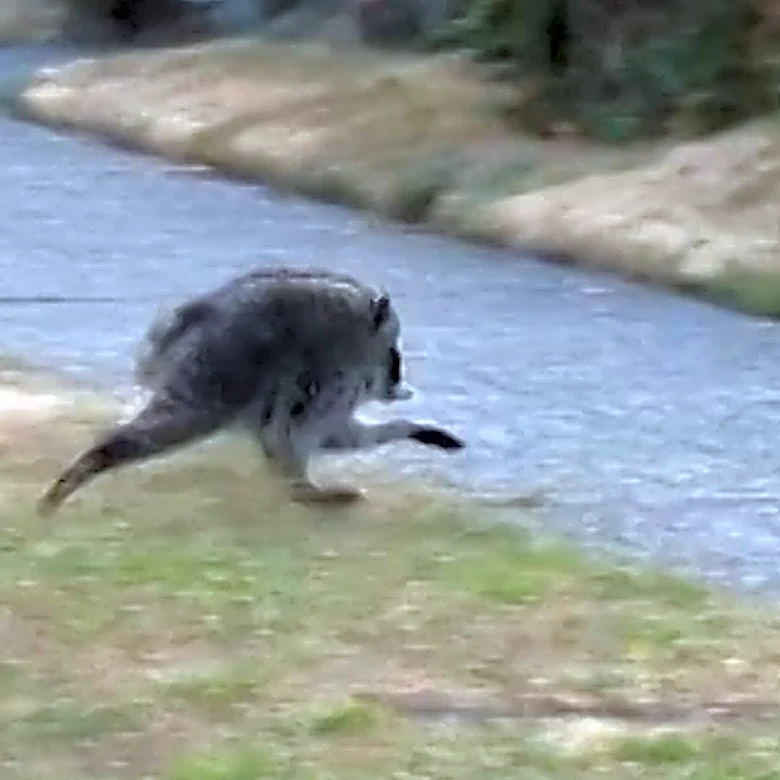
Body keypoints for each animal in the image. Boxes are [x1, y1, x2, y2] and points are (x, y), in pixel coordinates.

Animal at [37, 267, 464, 514]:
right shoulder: (332, 366)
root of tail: (190, 314)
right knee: (179, 421)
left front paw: (412, 428)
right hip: (224, 365)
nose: (398, 382)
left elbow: (338, 435)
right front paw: (300, 485)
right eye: (396, 355)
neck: (363, 327)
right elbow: (307, 430)